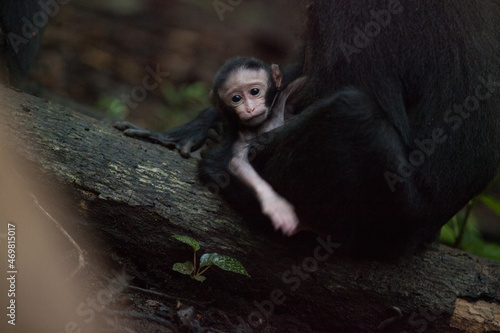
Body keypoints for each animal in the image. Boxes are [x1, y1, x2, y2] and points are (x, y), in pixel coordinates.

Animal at [210, 56, 306, 233]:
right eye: (236, 98)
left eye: (254, 91)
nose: (250, 108)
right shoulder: (241, 138)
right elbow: (238, 163)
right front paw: (274, 202)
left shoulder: (283, 99)